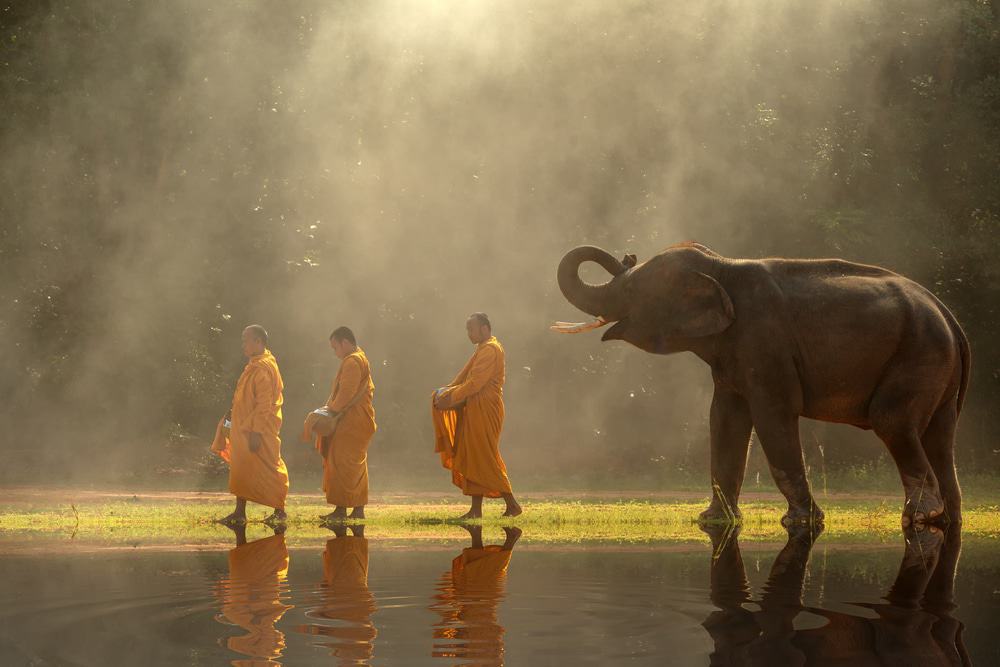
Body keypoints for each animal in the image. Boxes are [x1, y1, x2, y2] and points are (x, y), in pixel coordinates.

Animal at [555, 243, 970, 526]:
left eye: (630, 292)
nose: (627, 255)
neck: (719, 265)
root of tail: (949, 315)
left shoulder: (765, 345)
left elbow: (773, 416)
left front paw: (801, 521)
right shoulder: (732, 357)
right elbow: (724, 420)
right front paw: (713, 520)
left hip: (919, 354)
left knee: (892, 421)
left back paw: (922, 517)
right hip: (939, 370)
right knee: (939, 438)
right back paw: (947, 518)